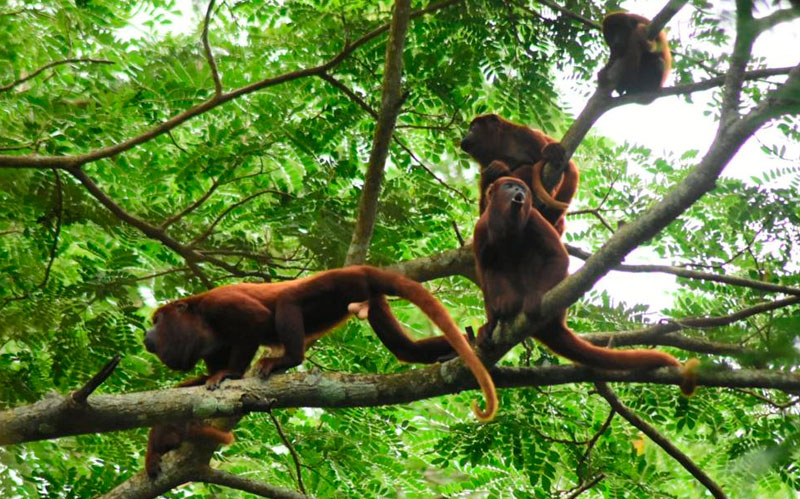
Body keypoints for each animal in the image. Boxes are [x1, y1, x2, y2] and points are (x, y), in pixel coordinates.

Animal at [144, 265, 498, 422]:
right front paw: (200, 380)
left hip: (335, 285)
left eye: (157, 320)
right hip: (370, 297)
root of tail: (361, 267)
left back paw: (287, 359)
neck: (200, 317)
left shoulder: (221, 303)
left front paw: (229, 375)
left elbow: (255, 322)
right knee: (404, 348)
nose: (147, 335)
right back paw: (460, 345)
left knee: (287, 300)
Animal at [474, 172, 697, 395]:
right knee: (493, 266)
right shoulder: (480, 230)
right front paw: (490, 323)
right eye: (509, 185)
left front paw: (535, 297)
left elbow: (557, 256)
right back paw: (506, 309)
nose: (519, 190)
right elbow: (484, 273)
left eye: (523, 188)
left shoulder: (534, 218)